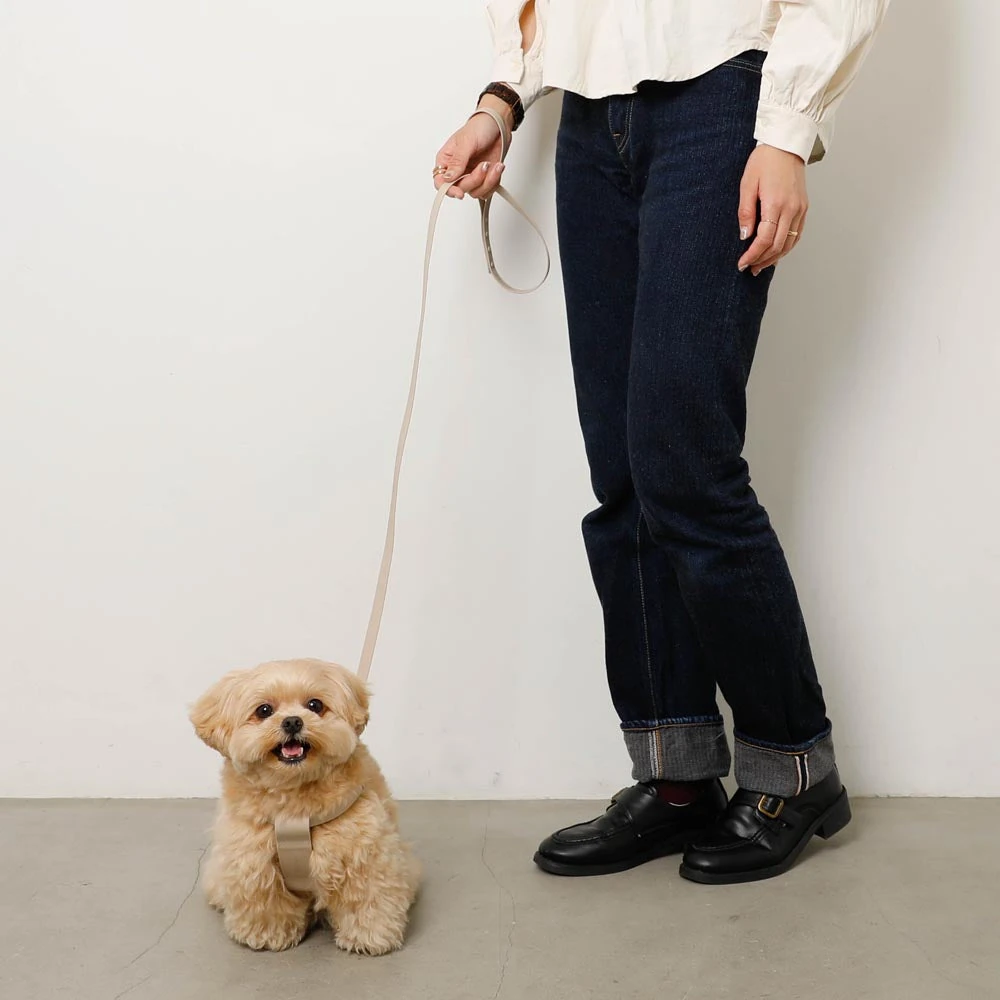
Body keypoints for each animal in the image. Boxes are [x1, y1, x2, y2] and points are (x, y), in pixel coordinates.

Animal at [190, 657, 419, 953]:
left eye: (315, 705)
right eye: (264, 710)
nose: (292, 721)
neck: (294, 804)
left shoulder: (364, 853)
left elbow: (368, 898)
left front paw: (370, 937)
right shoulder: (253, 859)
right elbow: (266, 902)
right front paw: (267, 935)